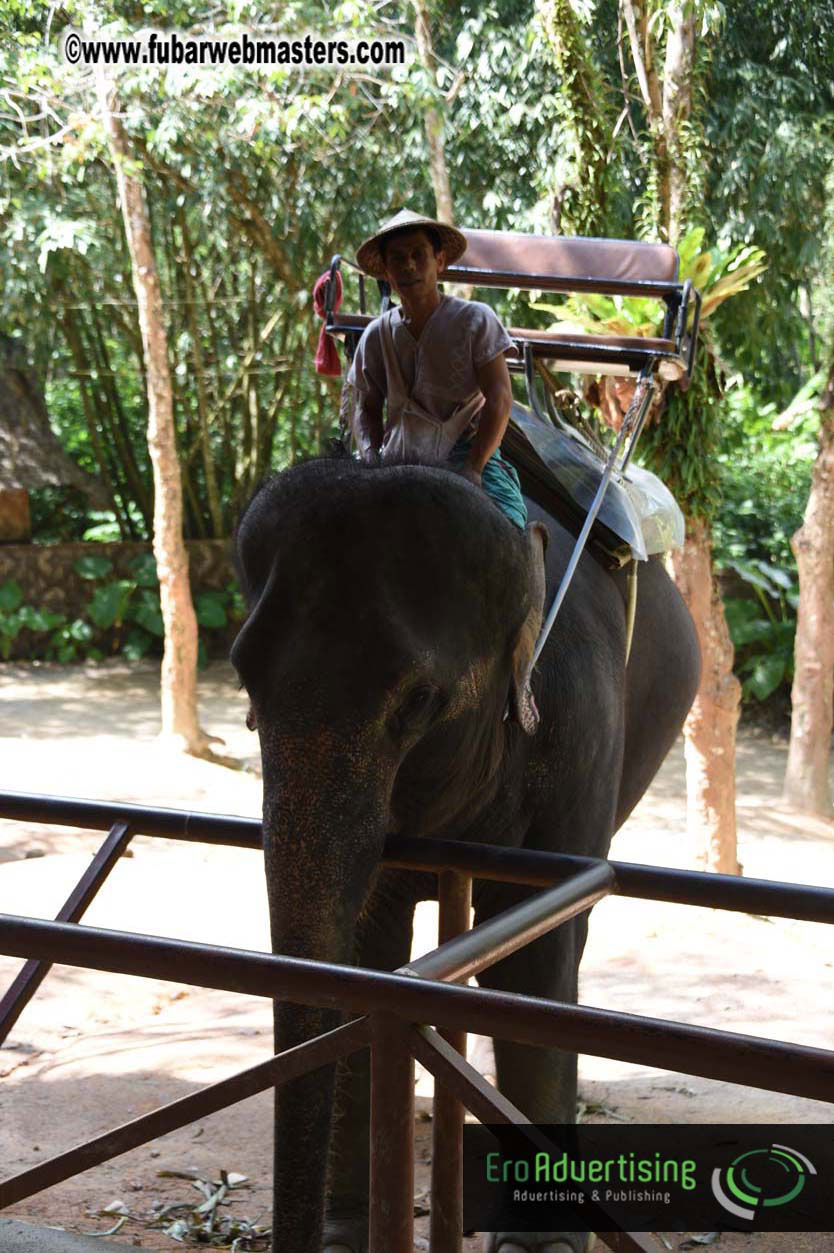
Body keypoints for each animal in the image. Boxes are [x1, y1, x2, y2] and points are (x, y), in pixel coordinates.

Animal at [230, 453, 700, 1253]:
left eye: (418, 702)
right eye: (243, 681)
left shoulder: (582, 724)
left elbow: (533, 952)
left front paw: (539, 1246)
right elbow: (370, 956)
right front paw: (346, 1234)